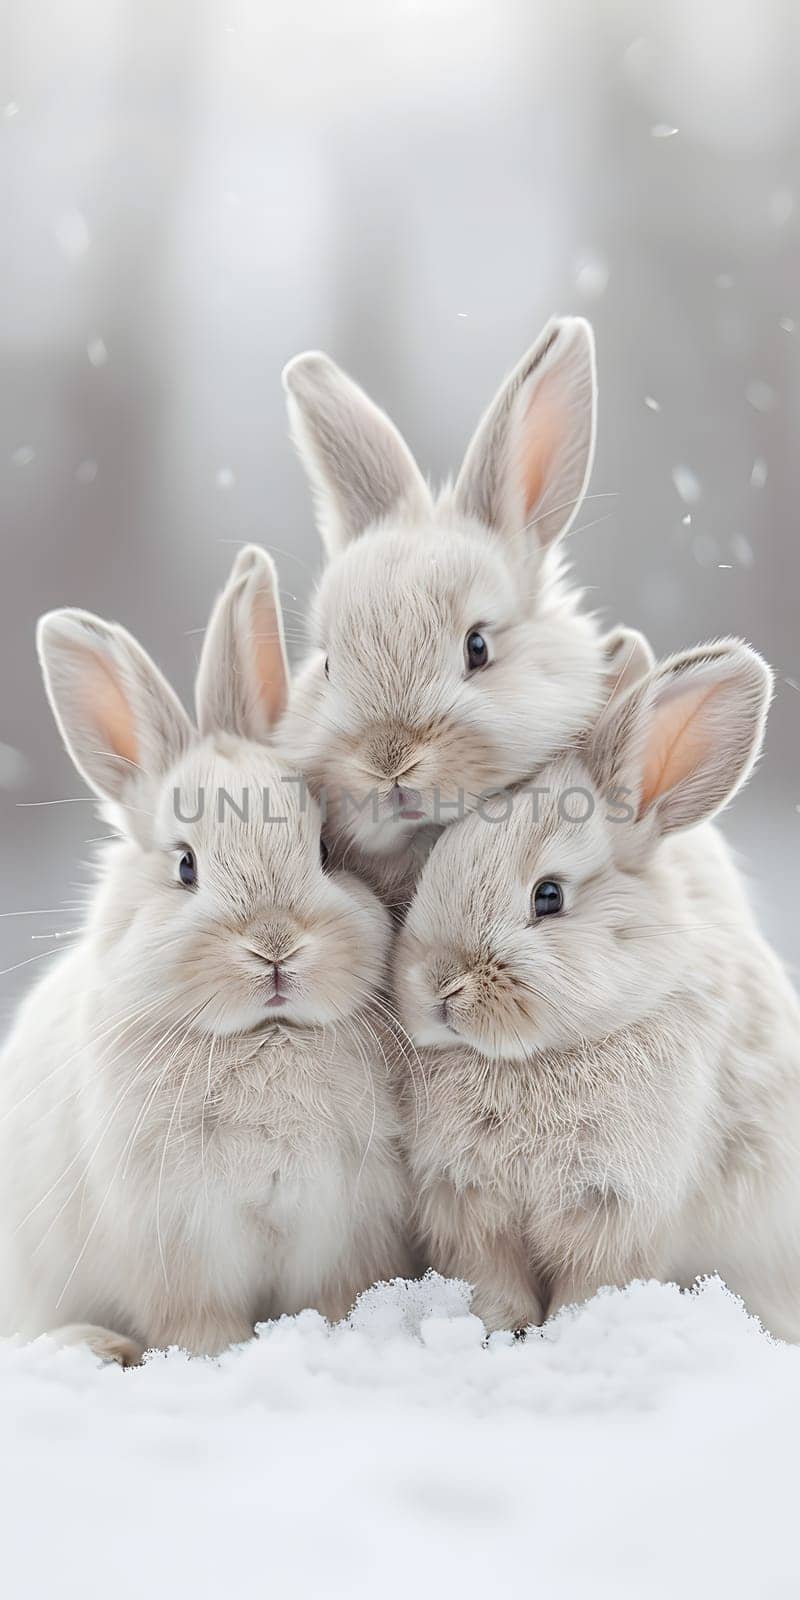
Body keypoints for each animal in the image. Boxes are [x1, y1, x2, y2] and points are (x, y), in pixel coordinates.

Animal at [0, 550, 409, 1363]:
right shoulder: (181, 1243)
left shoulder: (348, 1229)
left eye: (326, 849)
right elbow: (198, 1325)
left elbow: (336, 1298)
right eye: (185, 866)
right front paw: (218, 1358)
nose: (275, 945)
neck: (268, 1038)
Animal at [395, 636, 800, 1337]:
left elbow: (594, 1281)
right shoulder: (466, 1201)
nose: (440, 986)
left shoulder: (618, 1206)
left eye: (549, 896)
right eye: (431, 863)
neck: (533, 1059)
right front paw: (492, 1328)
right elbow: (491, 1276)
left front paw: (576, 1332)